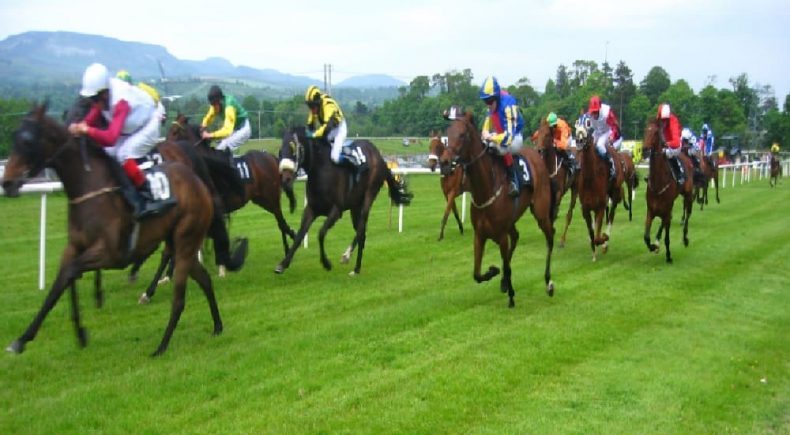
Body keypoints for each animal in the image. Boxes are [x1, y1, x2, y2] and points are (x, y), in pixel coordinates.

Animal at [4, 104, 224, 356]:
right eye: (14, 137)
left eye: (27, 140)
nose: (7, 182)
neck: (89, 186)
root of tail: (198, 182)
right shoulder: (74, 247)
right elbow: (60, 283)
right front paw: (31, 338)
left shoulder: (111, 253)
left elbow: (71, 272)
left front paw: (84, 322)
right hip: (180, 242)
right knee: (203, 278)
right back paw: (217, 326)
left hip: (186, 237)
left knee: (179, 297)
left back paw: (161, 345)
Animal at [276, 127, 414, 276]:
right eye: (280, 151)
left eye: (293, 148)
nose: (285, 180)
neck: (322, 171)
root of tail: (380, 157)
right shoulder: (311, 209)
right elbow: (300, 235)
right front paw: (283, 264)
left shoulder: (336, 210)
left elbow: (321, 233)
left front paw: (326, 263)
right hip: (355, 206)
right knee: (361, 232)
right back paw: (352, 261)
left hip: (369, 196)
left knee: (361, 230)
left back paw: (352, 263)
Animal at [440, 109, 556, 308]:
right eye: (447, 134)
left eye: (462, 135)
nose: (445, 162)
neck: (486, 189)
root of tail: (537, 155)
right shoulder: (479, 235)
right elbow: (477, 274)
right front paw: (494, 272)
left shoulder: (501, 235)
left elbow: (507, 266)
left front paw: (511, 295)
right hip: (512, 222)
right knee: (516, 236)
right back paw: (503, 280)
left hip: (540, 212)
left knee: (550, 237)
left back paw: (548, 282)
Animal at [644, 117, 700, 264]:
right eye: (645, 130)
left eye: (655, 132)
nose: (645, 149)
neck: (658, 183)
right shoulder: (651, 210)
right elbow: (646, 236)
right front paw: (653, 246)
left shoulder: (667, 208)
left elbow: (667, 237)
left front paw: (668, 256)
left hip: (688, 195)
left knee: (687, 214)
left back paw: (685, 238)